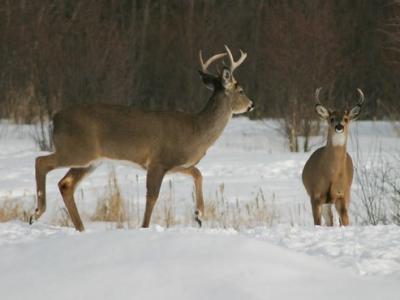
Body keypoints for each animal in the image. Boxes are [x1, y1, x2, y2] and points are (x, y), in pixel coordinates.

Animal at [30, 45, 253, 231]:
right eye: (241, 90)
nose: (252, 105)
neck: (196, 130)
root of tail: (55, 118)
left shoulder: (175, 164)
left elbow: (197, 173)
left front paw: (199, 214)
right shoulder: (157, 162)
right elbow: (152, 197)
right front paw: (144, 228)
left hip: (91, 160)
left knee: (65, 184)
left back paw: (80, 228)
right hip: (77, 150)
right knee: (41, 161)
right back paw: (36, 212)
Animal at [302, 88, 364, 226]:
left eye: (346, 119)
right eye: (331, 118)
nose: (339, 126)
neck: (331, 173)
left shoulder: (341, 194)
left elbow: (345, 221)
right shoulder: (315, 195)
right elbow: (318, 222)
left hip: (346, 194)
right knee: (329, 220)